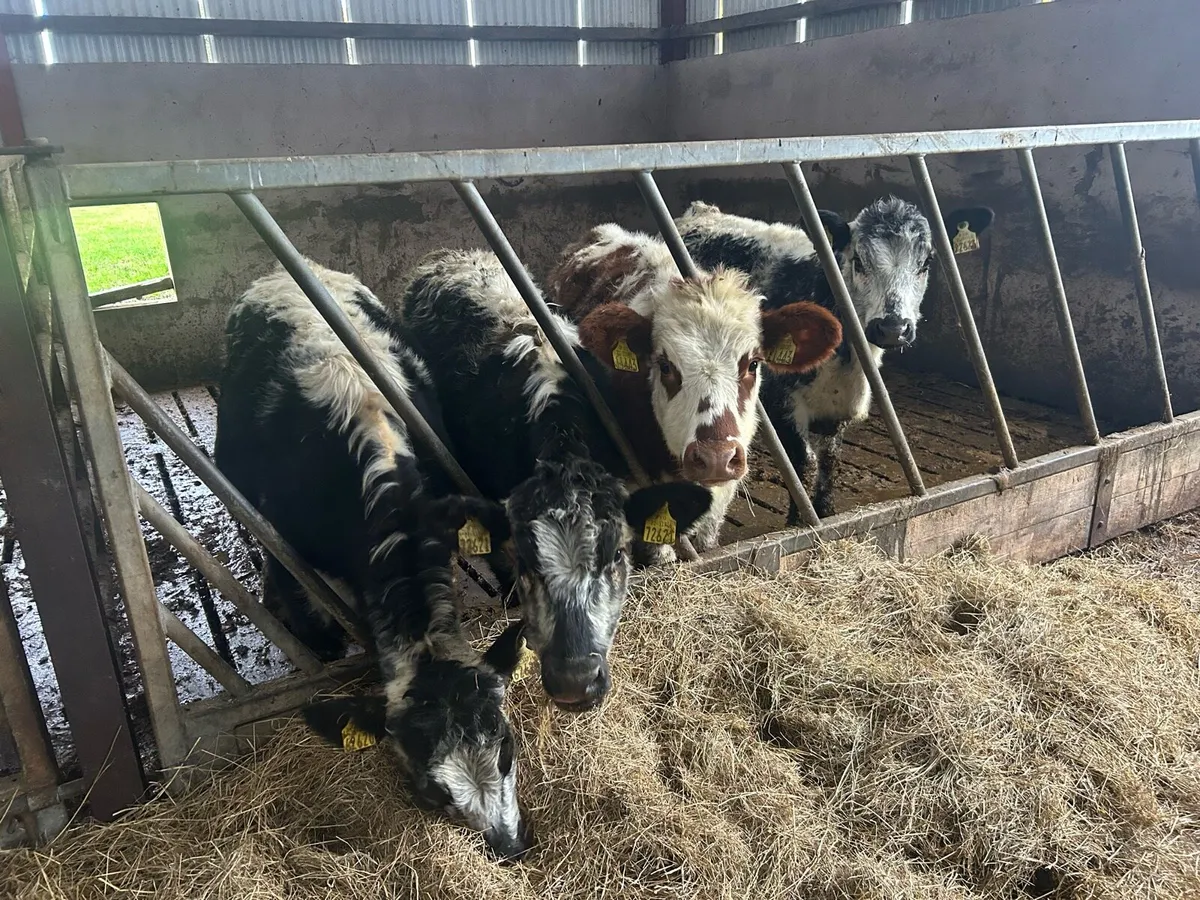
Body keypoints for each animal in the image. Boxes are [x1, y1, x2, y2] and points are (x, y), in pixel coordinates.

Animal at [677, 198, 994, 522]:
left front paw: (826, 513)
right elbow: (804, 463)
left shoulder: (836, 409)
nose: (893, 328)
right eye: (858, 261)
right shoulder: (780, 402)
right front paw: (801, 523)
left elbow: (830, 461)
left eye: (926, 263)